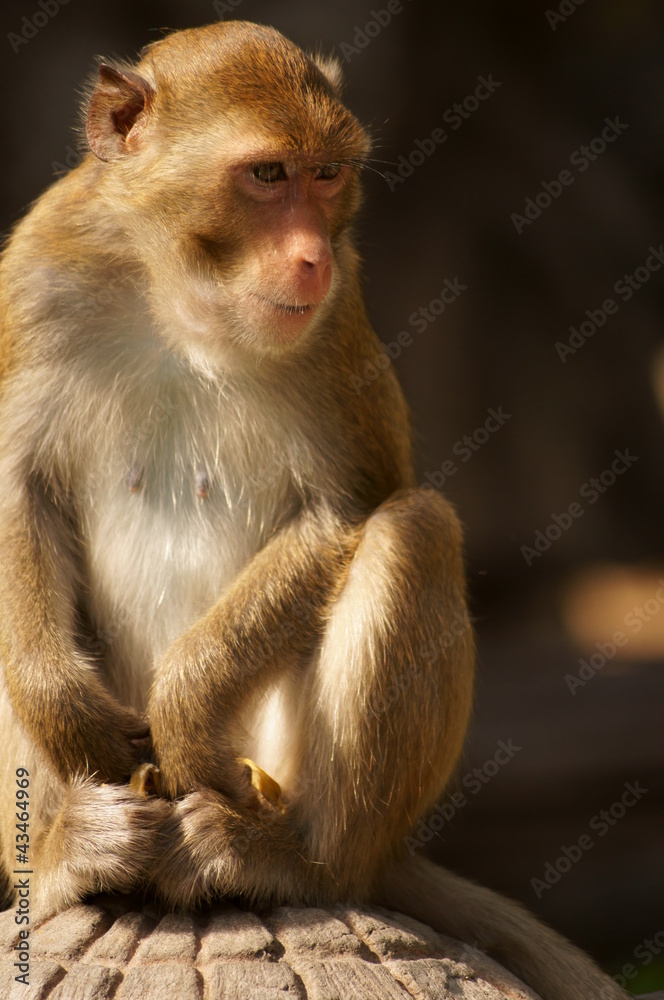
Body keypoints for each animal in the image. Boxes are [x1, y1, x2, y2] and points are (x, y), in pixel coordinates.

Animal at [0, 22, 627, 1000]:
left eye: (328, 173)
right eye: (267, 174)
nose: (312, 256)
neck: (180, 296)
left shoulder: (336, 322)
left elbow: (347, 507)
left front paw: (185, 704)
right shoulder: (40, 274)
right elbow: (18, 488)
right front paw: (63, 706)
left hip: (287, 779)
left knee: (414, 529)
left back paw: (294, 860)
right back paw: (67, 855)